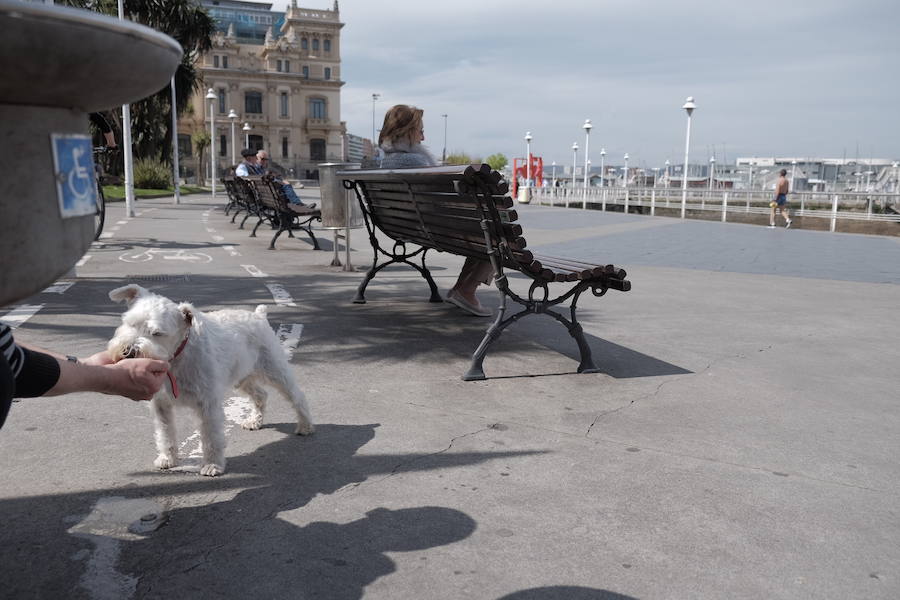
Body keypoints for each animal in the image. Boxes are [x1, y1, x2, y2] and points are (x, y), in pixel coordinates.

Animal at [107, 284, 312, 476]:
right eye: (129, 323)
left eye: (157, 333)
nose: (128, 352)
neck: (177, 357)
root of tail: (259, 315)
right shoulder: (161, 405)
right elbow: (165, 434)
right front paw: (167, 458)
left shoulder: (207, 405)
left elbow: (211, 437)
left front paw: (213, 465)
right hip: (242, 378)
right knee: (261, 395)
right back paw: (255, 421)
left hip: (276, 371)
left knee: (297, 396)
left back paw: (305, 426)